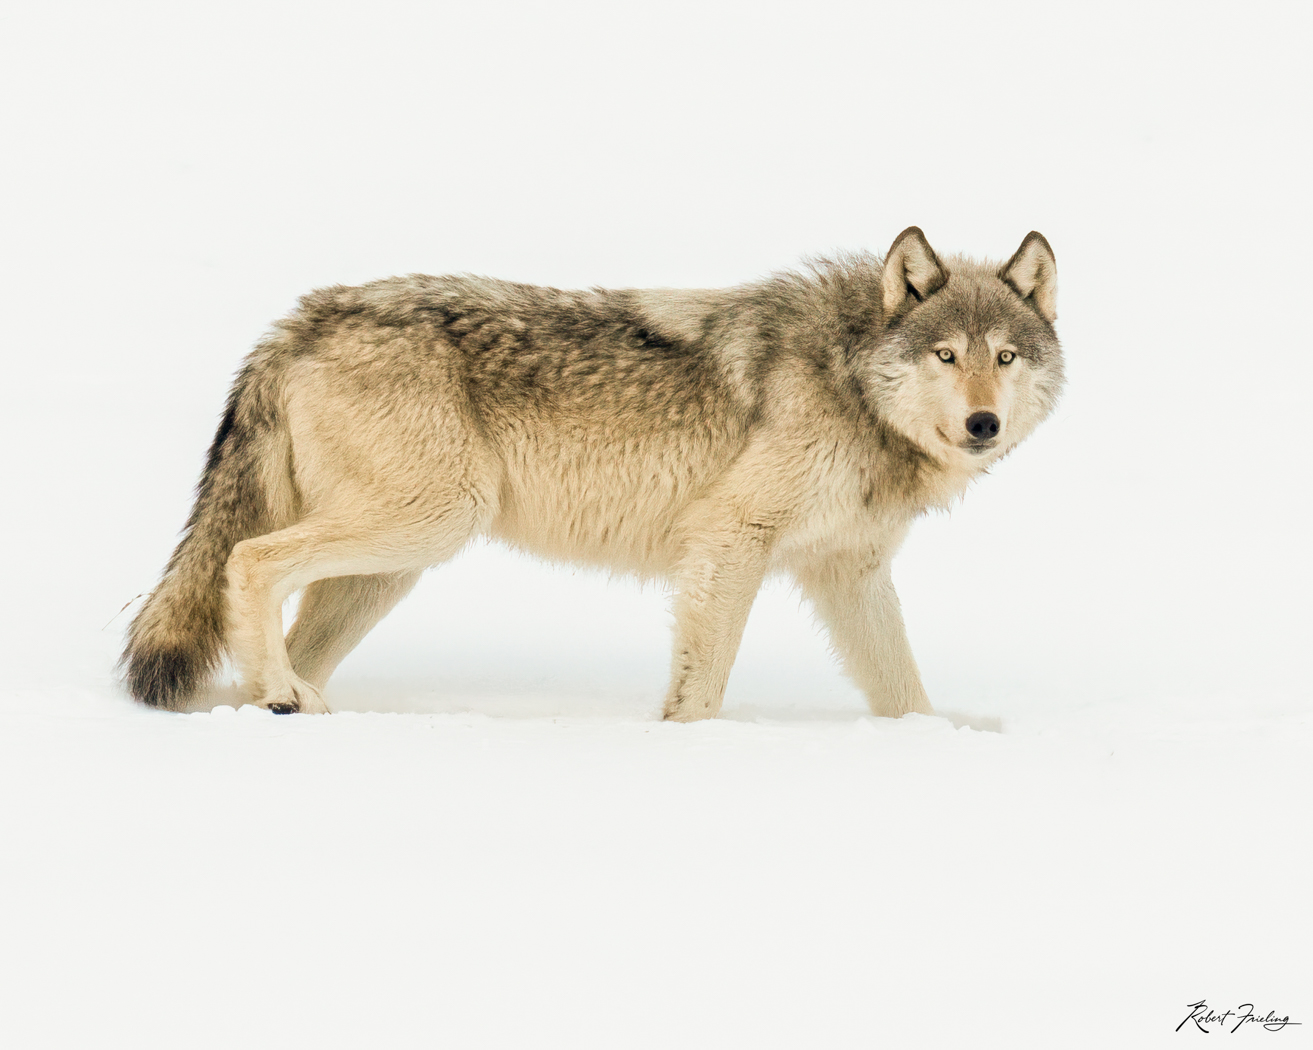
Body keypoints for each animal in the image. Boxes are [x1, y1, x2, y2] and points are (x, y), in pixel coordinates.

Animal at [122, 227, 1062, 720]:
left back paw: (280, 702)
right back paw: (280, 694)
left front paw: (936, 741)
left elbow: (904, 687)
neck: (850, 376)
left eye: (1005, 357)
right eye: (945, 355)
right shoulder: (728, 541)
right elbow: (701, 688)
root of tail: (299, 318)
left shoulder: (851, 572)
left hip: (392, 567)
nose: (982, 424)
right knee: (249, 561)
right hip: (432, 522)